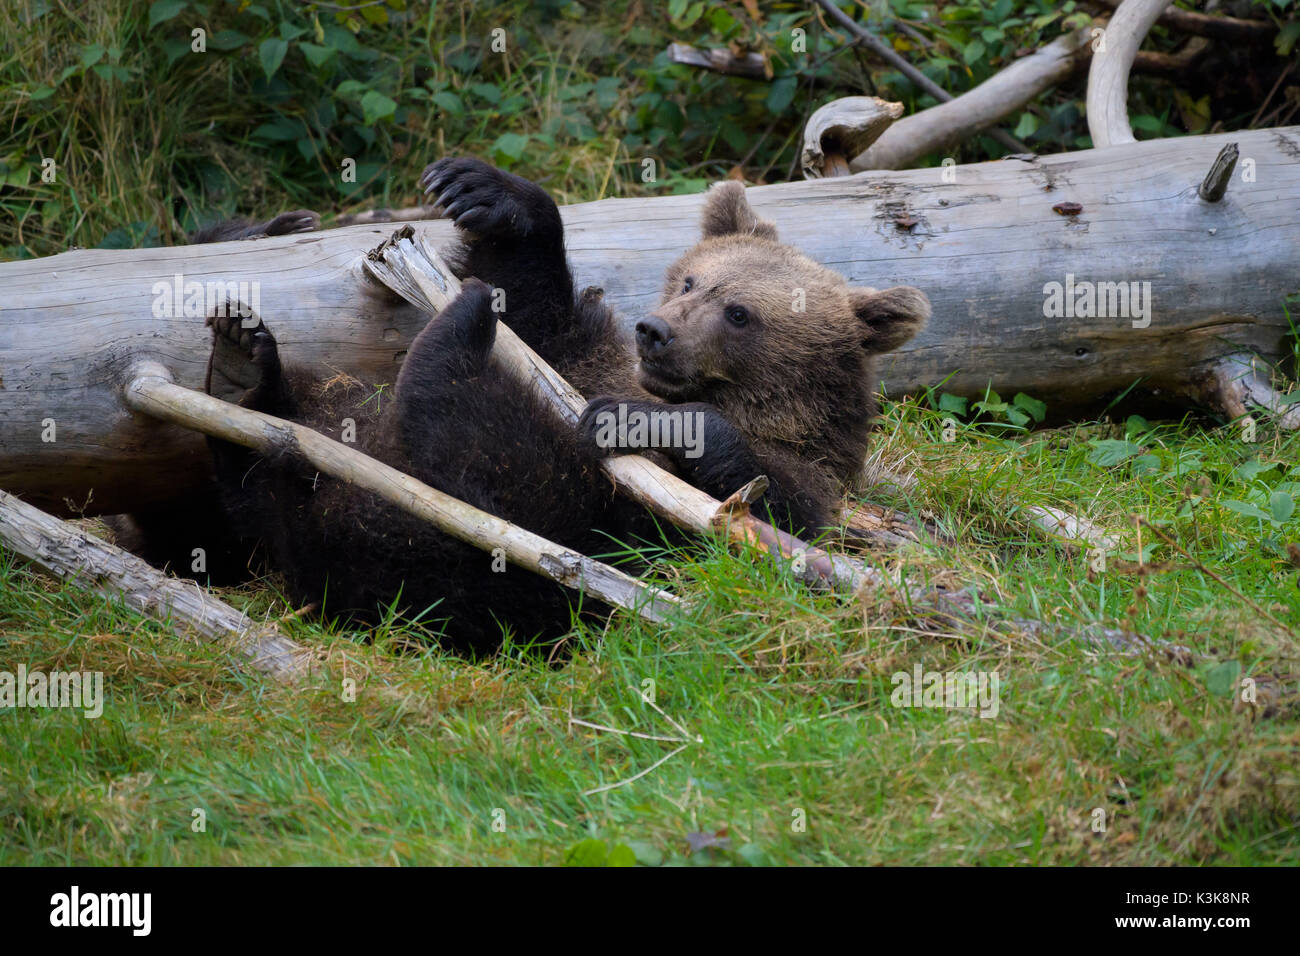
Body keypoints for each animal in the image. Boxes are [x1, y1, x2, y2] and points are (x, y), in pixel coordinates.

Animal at [117, 158, 929, 654]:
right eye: (692, 279)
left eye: (741, 314)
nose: (656, 330)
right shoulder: (578, 352)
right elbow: (536, 304)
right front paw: (486, 194)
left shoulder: (789, 479)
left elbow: (760, 502)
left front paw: (633, 420)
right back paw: (243, 364)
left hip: (518, 544)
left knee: (492, 461)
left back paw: (451, 333)